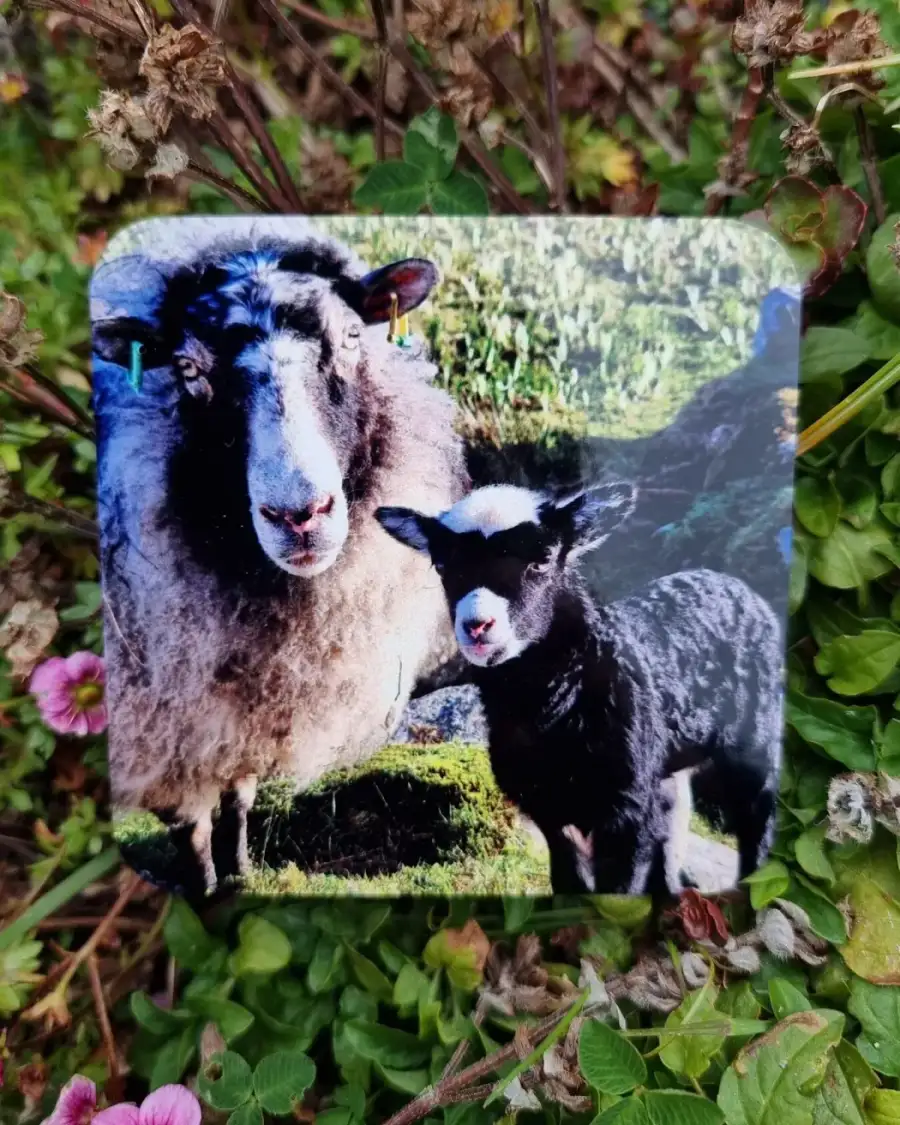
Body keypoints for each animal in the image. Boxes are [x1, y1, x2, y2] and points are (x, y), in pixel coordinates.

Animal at [90, 224, 468, 891]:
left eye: (352, 337)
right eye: (186, 368)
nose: (300, 515)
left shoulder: (250, 699)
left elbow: (239, 793)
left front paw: (241, 871)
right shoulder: (160, 714)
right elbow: (189, 822)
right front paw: (207, 887)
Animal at [376, 482, 784, 896]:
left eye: (542, 560)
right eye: (443, 566)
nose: (477, 626)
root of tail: (731, 583)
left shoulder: (626, 809)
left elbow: (619, 890)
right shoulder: (548, 807)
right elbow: (568, 882)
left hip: (756, 731)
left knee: (757, 812)